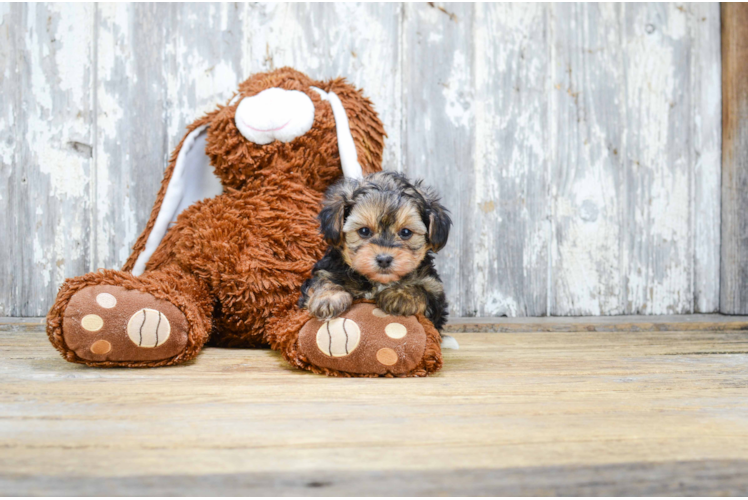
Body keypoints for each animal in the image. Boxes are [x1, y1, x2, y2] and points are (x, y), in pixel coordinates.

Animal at [298, 171, 450, 332]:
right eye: (364, 231)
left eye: (406, 232)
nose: (384, 259)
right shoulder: (327, 269)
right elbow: (322, 280)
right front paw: (328, 298)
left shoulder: (434, 290)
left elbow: (424, 291)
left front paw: (401, 295)